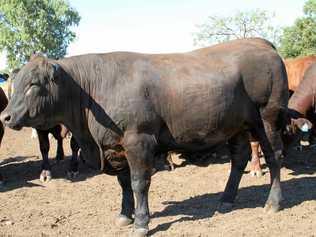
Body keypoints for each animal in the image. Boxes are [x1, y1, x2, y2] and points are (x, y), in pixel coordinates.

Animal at [0, 38, 288, 236]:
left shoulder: (139, 141)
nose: (5, 116)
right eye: (17, 83)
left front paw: (141, 222)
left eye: (34, 84)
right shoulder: (115, 147)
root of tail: (260, 42)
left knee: (274, 155)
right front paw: (124, 215)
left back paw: (273, 203)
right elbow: (124, 183)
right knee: (239, 158)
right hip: (236, 126)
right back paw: (226, 199)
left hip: (267, 117)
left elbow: (139, 183)